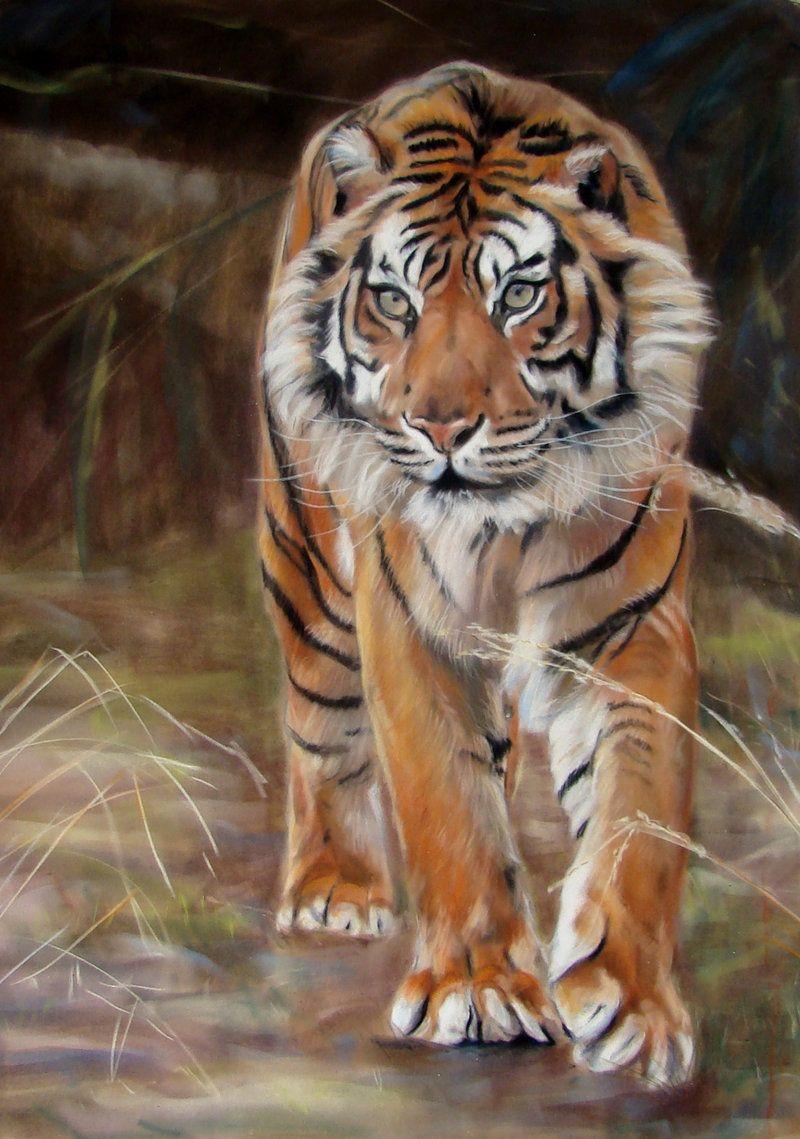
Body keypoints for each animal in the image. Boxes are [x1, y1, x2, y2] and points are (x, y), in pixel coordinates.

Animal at [258, 61, 711, 1086]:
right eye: (395, 300)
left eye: (520, 297)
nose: (441, 426)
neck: (504, 527)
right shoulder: (407, 616)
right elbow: (444, 801)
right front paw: (478, 986)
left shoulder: (632, 627)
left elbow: (639, 815)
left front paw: (634, 1004)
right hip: (308, 565)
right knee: (320, 726)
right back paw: (335, 886)